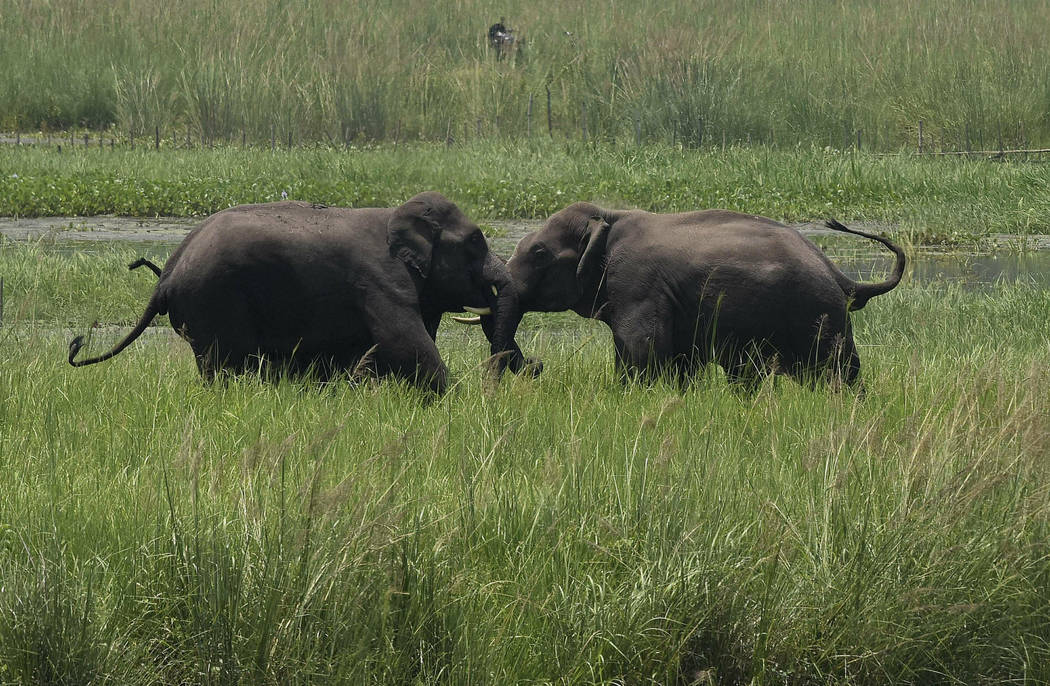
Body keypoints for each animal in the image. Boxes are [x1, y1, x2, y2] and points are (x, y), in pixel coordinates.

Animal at [68, 192, 536, 393]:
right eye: (475, 242)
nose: (537, 367)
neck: (397, 216)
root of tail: (165, 274)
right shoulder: (379, 280)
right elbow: (405, 342)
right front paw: (455, 400)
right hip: (213, 300)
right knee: (224, 364)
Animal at [491, 202, 905, 390]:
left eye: (539, 254)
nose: (537, 365)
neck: (608, 215)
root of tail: (840, 275)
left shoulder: (637, 284)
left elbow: (643, 350)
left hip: (819, 315)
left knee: (837, 375)